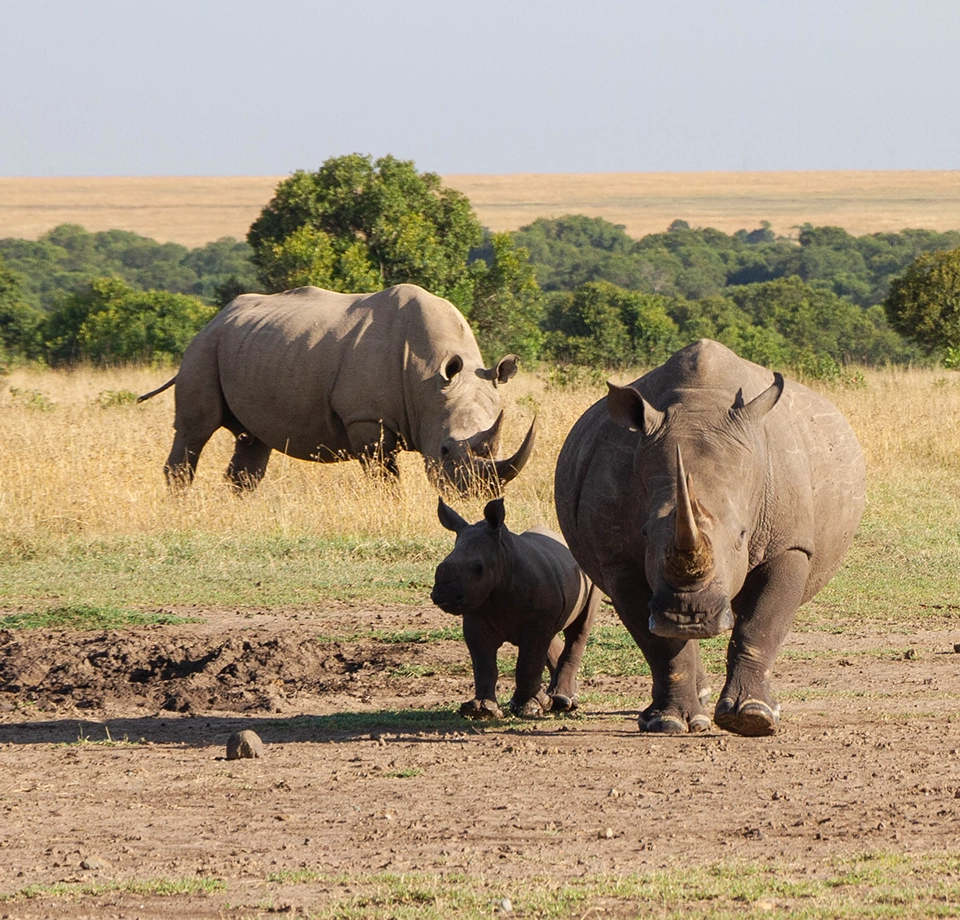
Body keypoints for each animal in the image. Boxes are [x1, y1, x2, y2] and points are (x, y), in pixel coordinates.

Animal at [138, 284, 536, 493]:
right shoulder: (367, 418)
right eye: (444, 450)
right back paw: (181, 503)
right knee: (195, 430)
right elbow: (383, 475)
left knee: (253, 439)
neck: (429, 381)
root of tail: (216, 317)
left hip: (249, 344)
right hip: (204, 349)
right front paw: (387, 505)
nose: (480, 494)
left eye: (497, 445)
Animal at [431, 497, 601, 719]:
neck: (503, 555)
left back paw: (564, 701)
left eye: (479, 569)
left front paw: (530, 708)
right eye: (439, 566)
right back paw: (556, 700)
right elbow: (484, 665)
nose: (444, 595)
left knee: (579, 629)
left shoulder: (536, 620)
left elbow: (528, 664)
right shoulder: (476, 618)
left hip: (589, 572)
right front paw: (481, 710)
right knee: (550, 636)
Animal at [554, 339, 865, 737]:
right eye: (645, 533)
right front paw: (670, 722)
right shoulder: (618, 560)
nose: (690, 617)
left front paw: (752, 717)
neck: (699, 403)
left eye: (742, 535)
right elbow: (658, 643)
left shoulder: (790, 544)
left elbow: (762, 623)